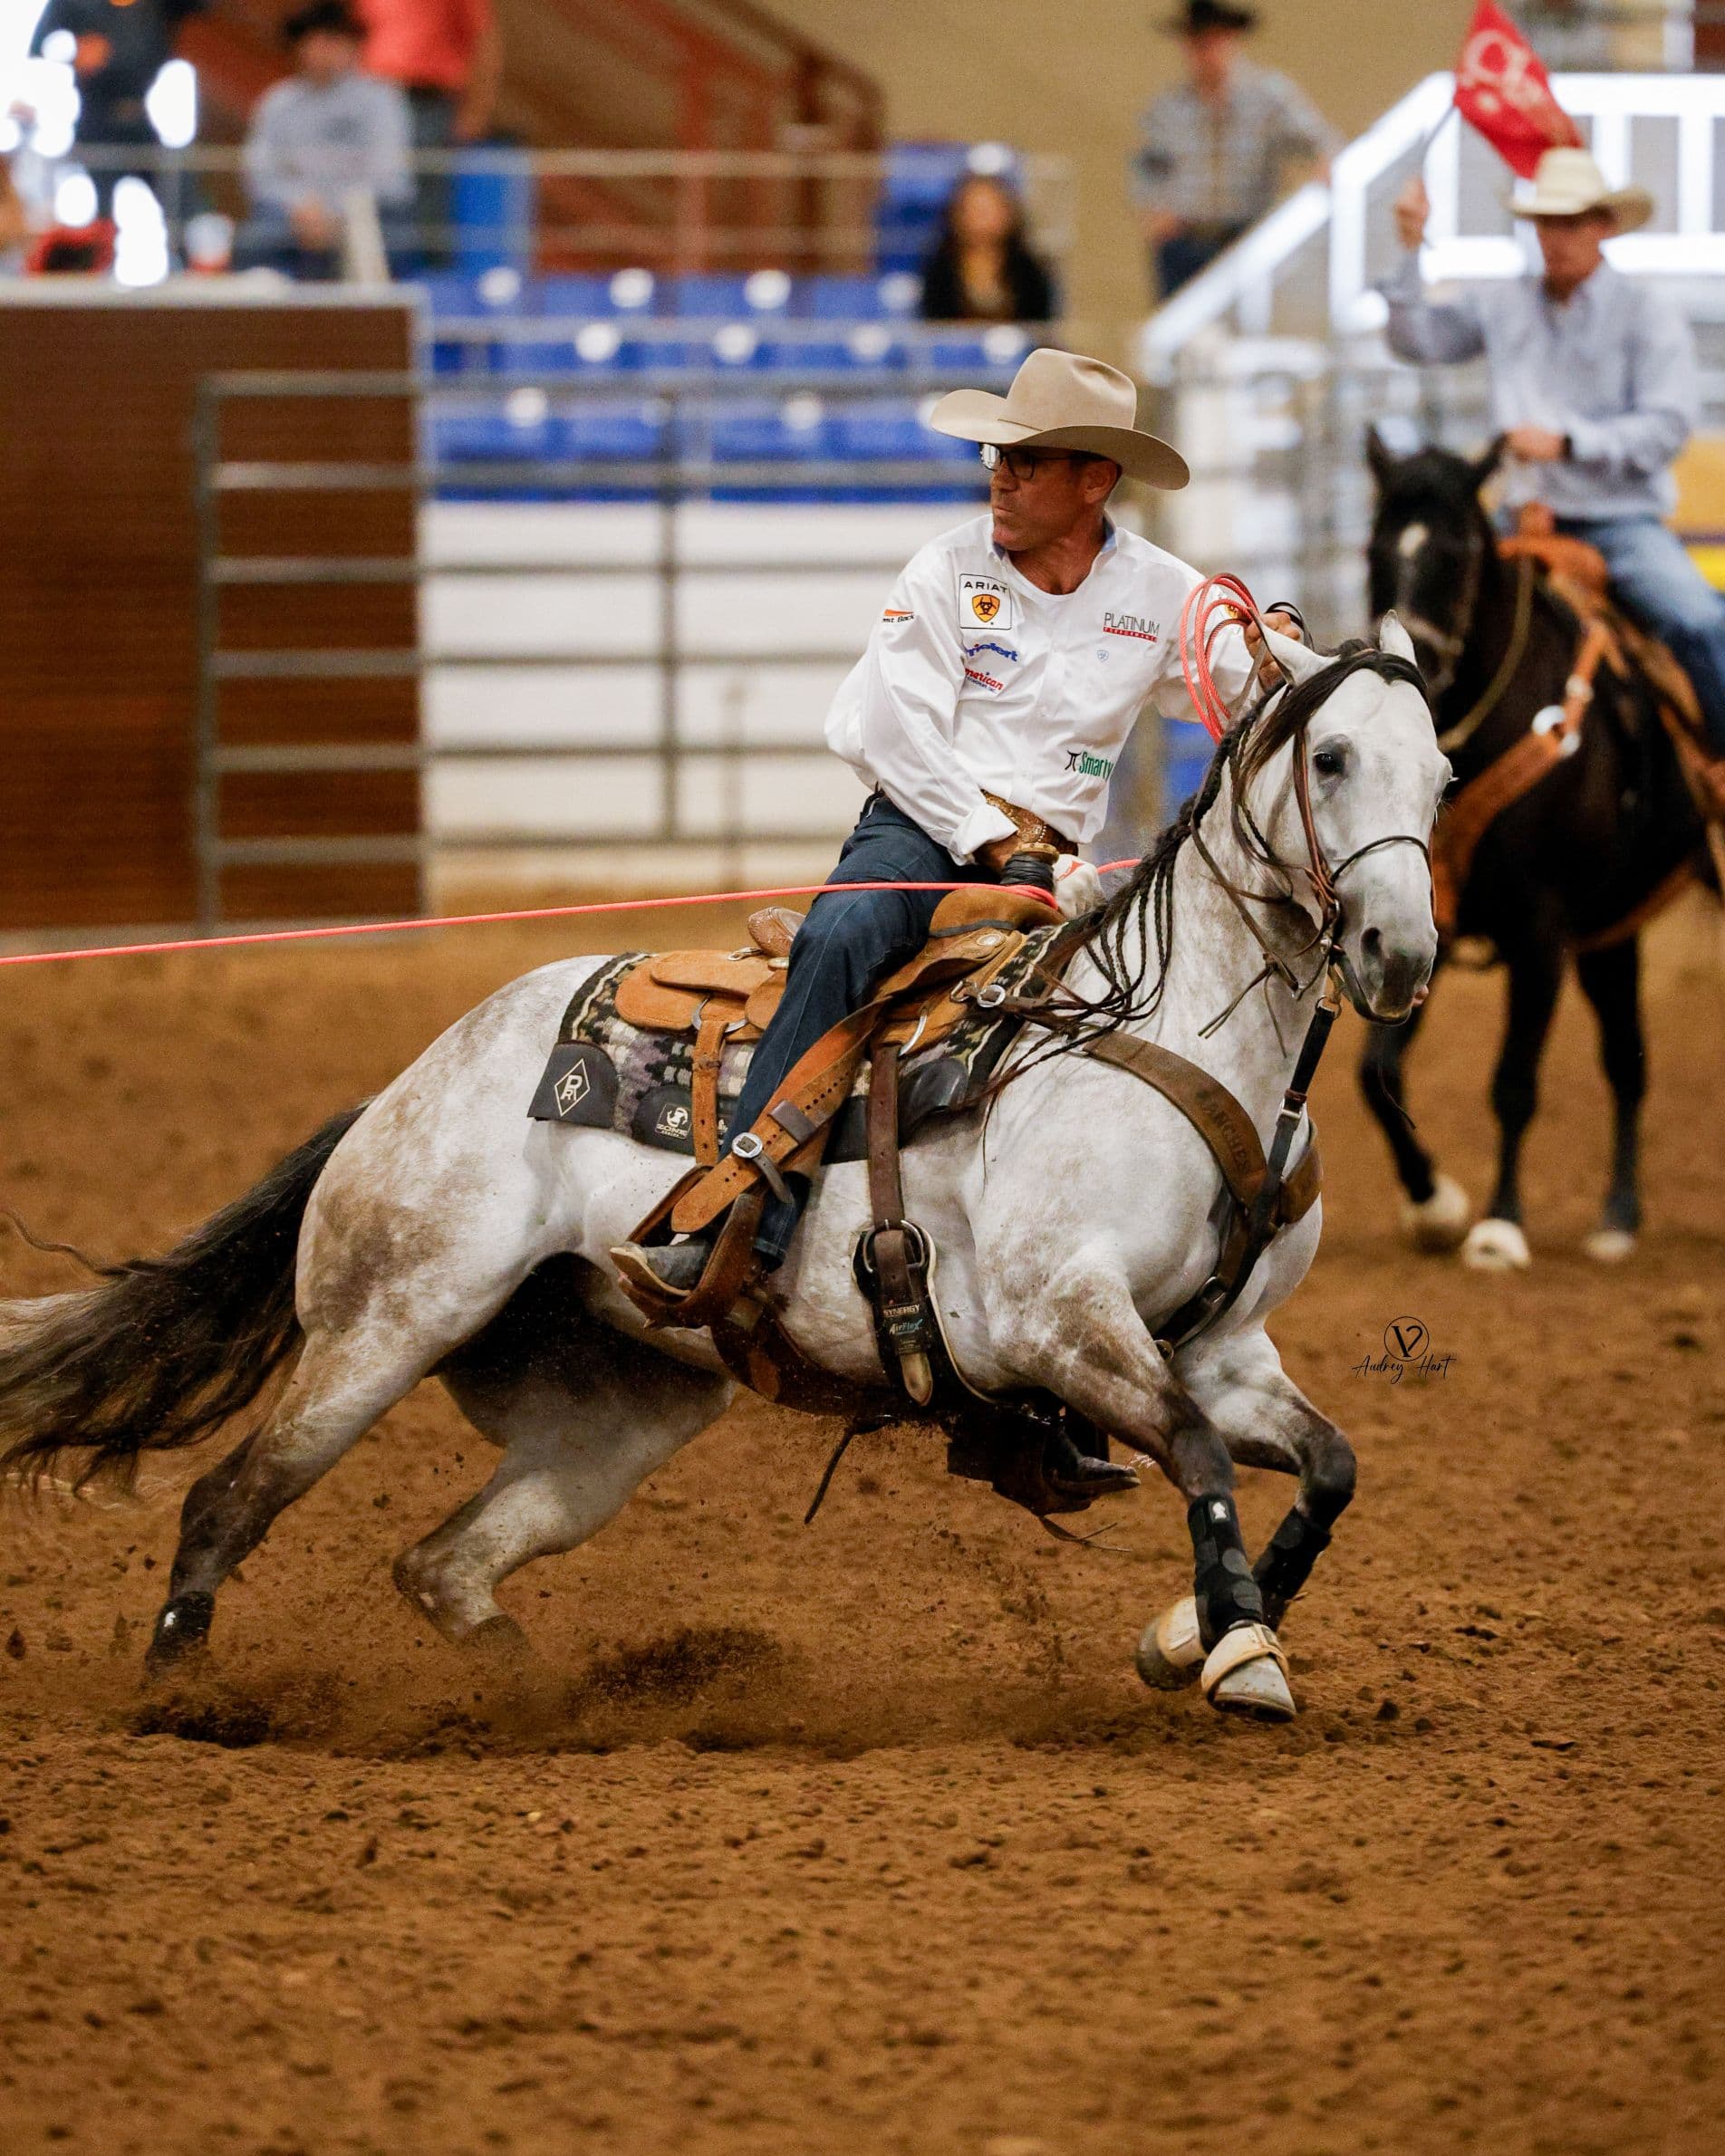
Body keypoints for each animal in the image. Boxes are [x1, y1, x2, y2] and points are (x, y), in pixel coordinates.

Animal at [0, 620, 1446, 1725]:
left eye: (1437, 774)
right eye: (1330, 756)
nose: (1401, 954)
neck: (1165, 1034)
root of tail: (405, 1089)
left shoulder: (1220, 1348)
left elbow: (1328, 1468)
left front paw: (1193, 1631)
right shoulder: (1061, 1320)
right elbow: (1197, 1452)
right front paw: (1234, 1653)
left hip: (616, 1411)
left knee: (441, 1566)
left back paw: (547, 1707)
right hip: (383, 1323)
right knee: (227, 1501)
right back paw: (182, 1703)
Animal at [1360, 432, 1714, 1271]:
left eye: (1458, 548)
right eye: (1375, 546)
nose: (1410, 668)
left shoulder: (1541, 932)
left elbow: (1514, 1080)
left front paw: (1499, 1225)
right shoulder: (1421, 925)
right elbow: (1375, 1071)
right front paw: (1434, 1205)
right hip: (1611, 937)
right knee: (1627, 1058)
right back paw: (1618, 1216)